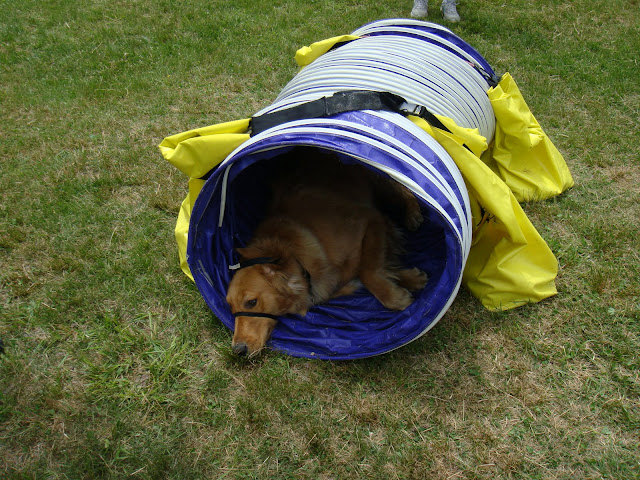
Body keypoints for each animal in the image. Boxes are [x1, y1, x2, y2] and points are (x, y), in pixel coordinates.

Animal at [226, 147, 427, 356]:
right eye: (230, 307)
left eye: (251, 302)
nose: (238, 350)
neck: (300, 258)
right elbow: (374, 268)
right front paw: (412, 278)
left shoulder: (371, 219)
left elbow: (369, 271)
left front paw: (397, 297)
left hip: (377, 177)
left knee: (402, 186)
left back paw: (413, 212)